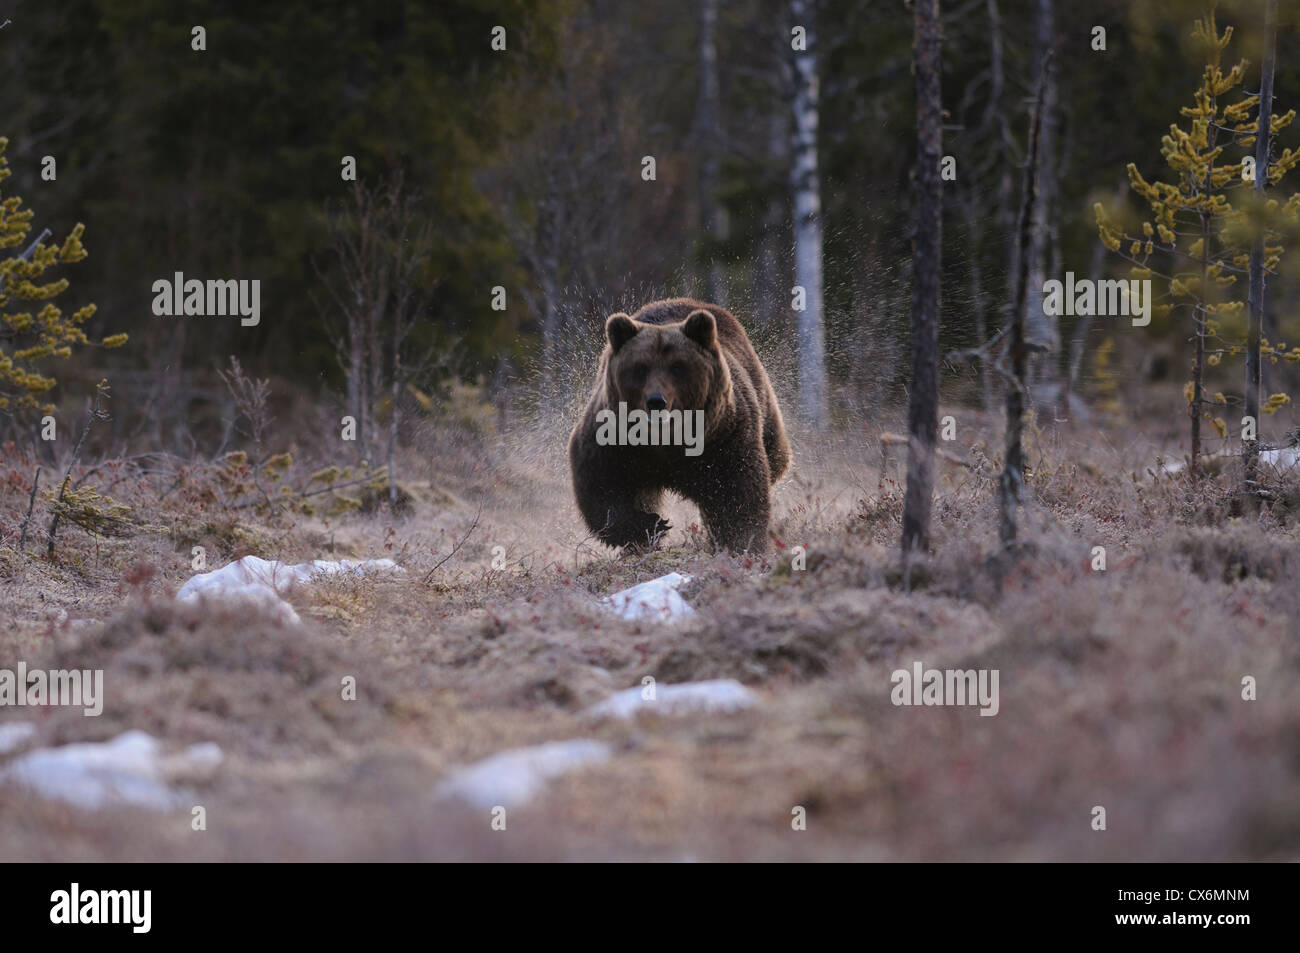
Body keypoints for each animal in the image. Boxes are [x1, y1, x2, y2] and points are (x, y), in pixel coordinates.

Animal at [569, 295, 790, 551]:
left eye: (677, 367)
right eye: (640, 367)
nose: (656, 401)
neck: (667, 439)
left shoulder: (723, 436)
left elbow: (737, 488)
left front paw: (741, 542)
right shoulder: (615, 438)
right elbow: (600, 481)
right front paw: (651, 525)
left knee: (776, 456)